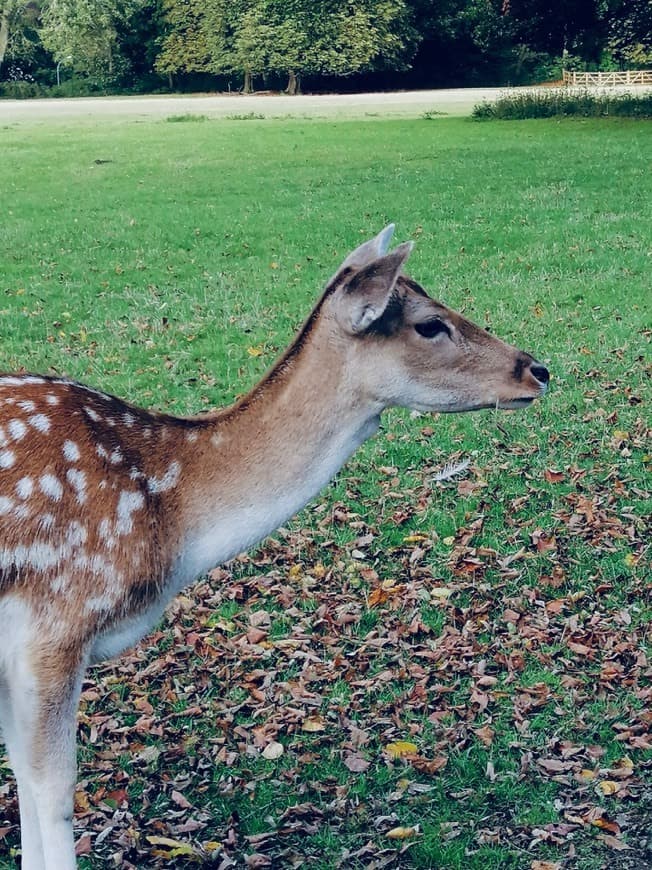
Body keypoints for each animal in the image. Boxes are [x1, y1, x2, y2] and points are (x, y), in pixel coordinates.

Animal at [0, 228, 552, 868]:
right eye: (429, 324)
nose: (537, 370)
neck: (174, 519)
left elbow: (23, 780)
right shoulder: (59, 620)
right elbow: (54, 792)